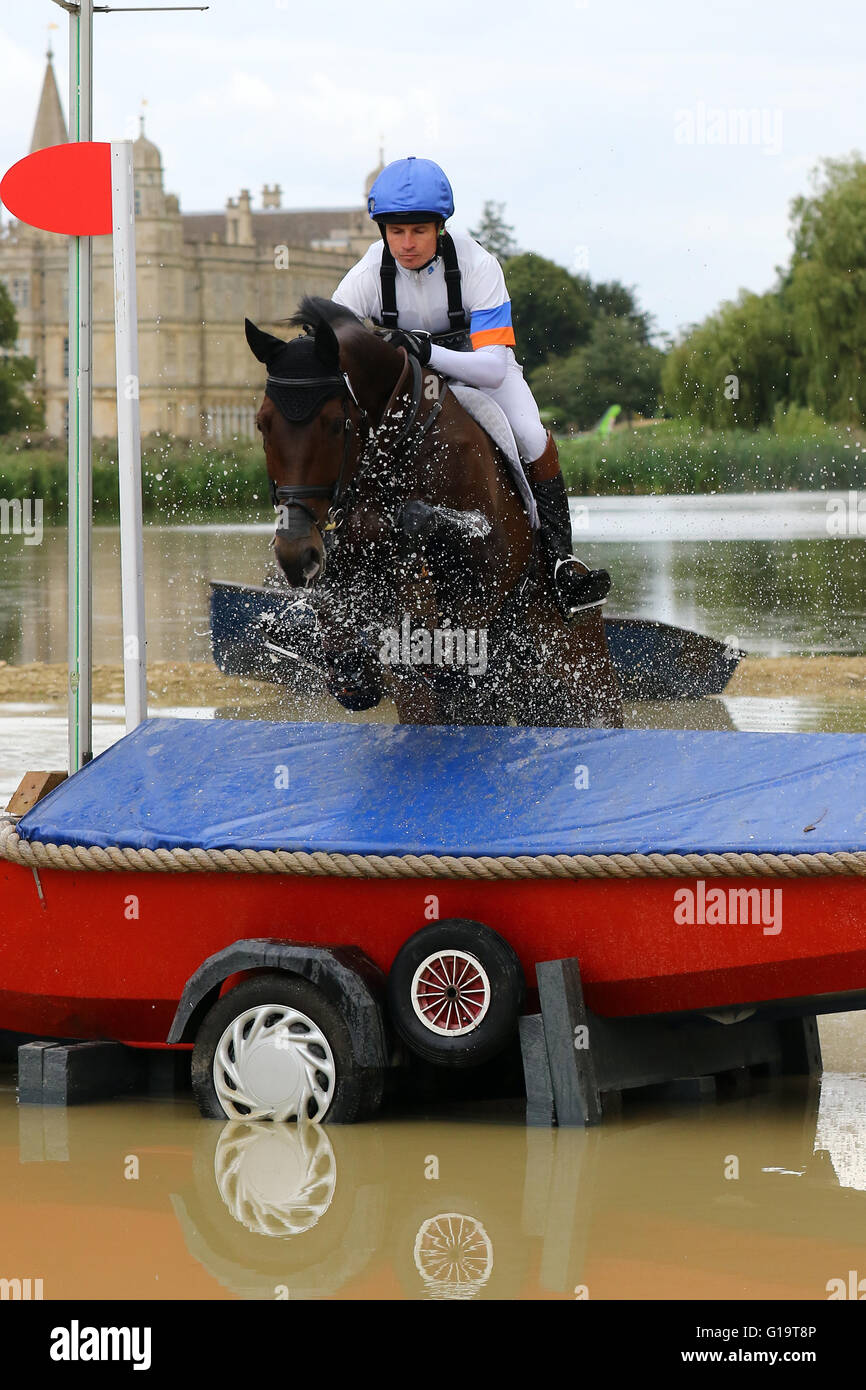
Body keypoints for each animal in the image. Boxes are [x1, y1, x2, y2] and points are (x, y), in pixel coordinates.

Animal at [245, 296, 623, 728]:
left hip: (585, 688)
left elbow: (423, 528)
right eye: (262, 425)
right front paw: (353, 668)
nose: (294, 553)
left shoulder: (489, 565)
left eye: (335, 424)